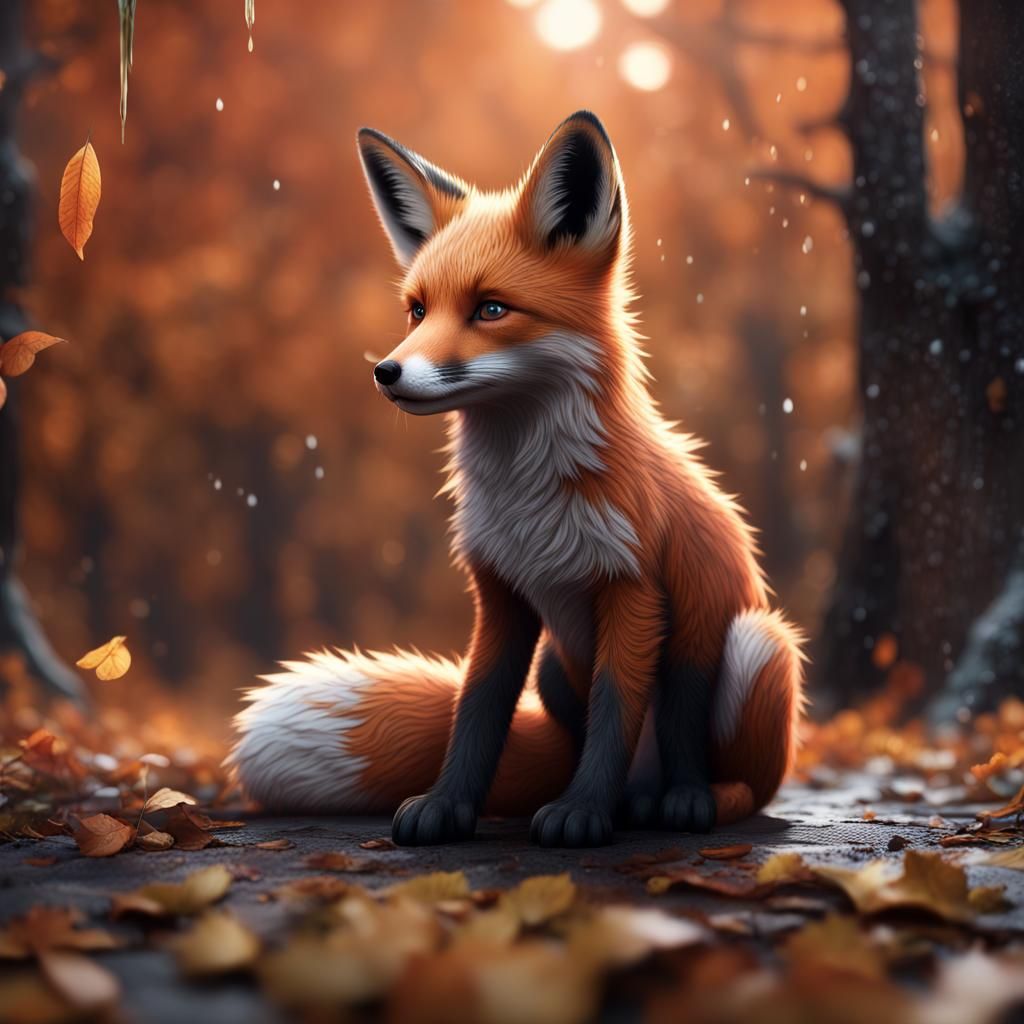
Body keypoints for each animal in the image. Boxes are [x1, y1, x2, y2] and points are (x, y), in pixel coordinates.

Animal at [228, 110, 806, 848]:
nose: (386, 372)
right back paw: (626, 803)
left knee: (733, 774)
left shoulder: (634, 590)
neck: (528, 505)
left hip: (756, 646)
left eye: (491, 310)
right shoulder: (499, 594)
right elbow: (476, 709)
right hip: (558, 667)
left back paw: (686, 800)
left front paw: (581, 813)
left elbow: (617, 711)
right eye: (418, 311)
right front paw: (448, 805)